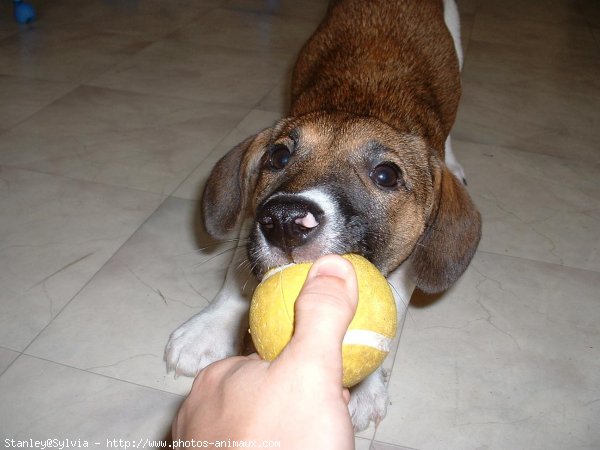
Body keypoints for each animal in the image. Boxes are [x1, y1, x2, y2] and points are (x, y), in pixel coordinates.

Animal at [165, 0, 482, 430]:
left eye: (387, 174)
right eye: (277, 156)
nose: (284, 220)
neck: (360, 103)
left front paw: (367, 388)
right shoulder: (251, 223)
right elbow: (235, 278)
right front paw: (208, 330)